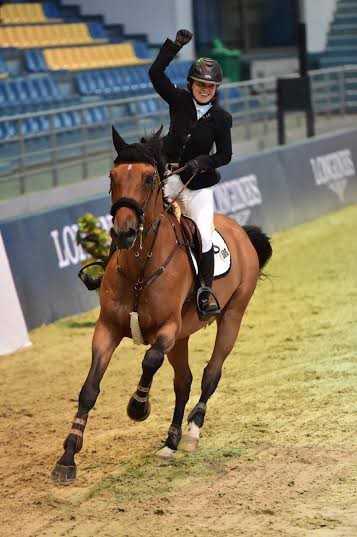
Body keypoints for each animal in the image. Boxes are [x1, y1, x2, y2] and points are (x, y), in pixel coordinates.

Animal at [51, 124, 272, 482]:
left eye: (149, 179)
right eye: (112, 177)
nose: (124, 232)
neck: (140, 268)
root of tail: (240, 231)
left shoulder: (167, 329)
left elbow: (149, 361)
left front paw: (138, 407)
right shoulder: (107, 329)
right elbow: (89, 389)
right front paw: (68, 457)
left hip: (231, 317)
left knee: (211, 374)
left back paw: (192, 433)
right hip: (183, 337)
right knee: (184, 382)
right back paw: (171, 441)